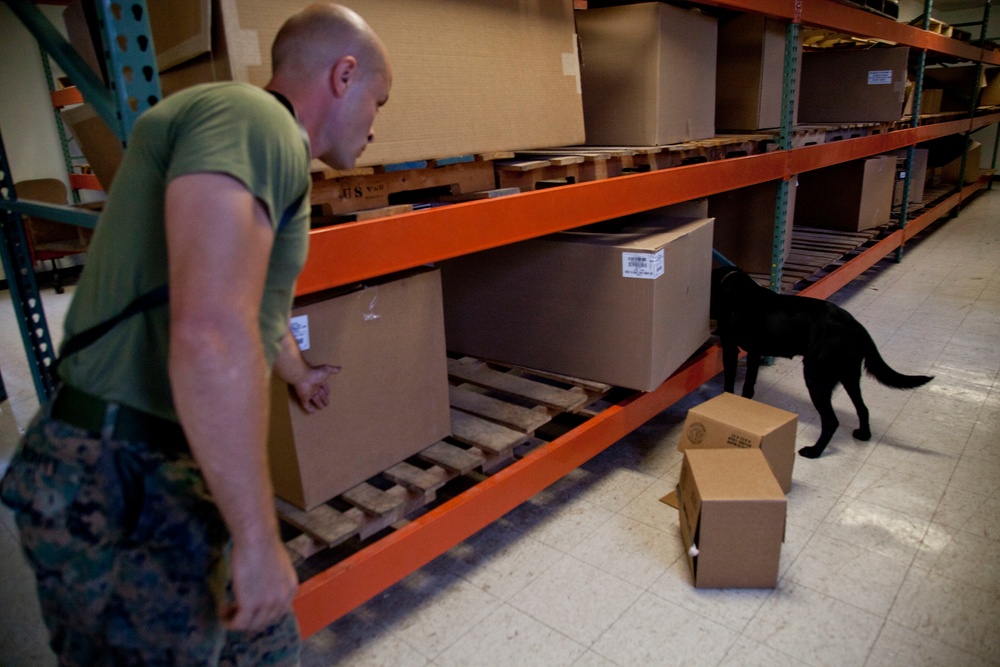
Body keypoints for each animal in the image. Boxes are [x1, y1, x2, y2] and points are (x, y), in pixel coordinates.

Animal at [712, 266, 928, 460]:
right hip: (848, 375)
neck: (734, 284)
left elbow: (729, 383)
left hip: (816, 377)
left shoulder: (731, 347)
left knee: (831, 421)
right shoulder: (755, 352)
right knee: (862, 408)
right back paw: (864, 434)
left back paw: (814, 451)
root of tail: (856, 327)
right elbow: (748, 386)